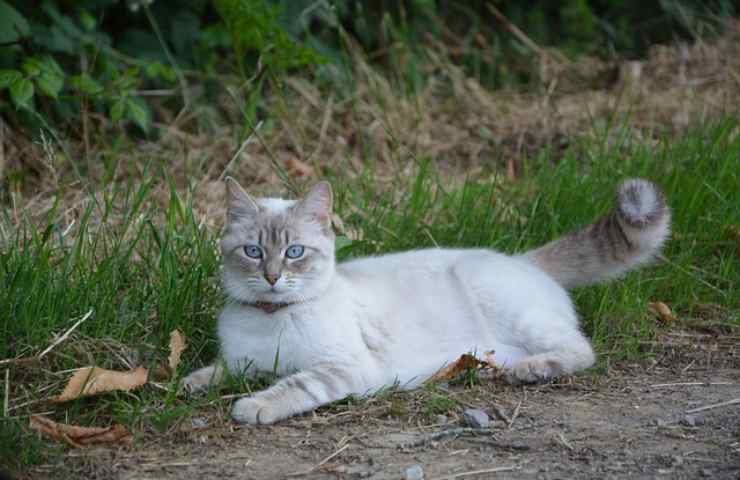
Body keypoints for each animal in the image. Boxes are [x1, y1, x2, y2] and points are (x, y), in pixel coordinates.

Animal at [184, 177, 672, 424]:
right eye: (253, 251)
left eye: (294, 252)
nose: (271, 278)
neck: (270, 319)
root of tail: (522, 258)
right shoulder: (241, 363)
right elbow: (216, 371)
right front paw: (190, 384)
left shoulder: (344, 367)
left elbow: (293, 386)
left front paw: (253, 406)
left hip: (514, 312)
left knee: (579, 349)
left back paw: (532, 371)